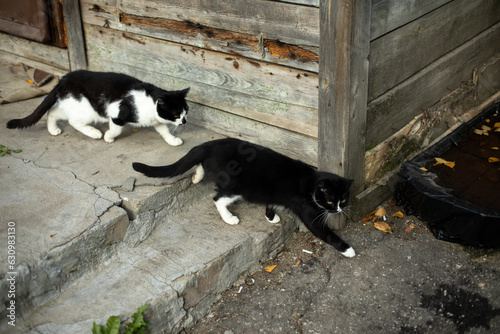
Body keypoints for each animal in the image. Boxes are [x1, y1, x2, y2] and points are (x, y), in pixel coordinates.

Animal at [5, 70, 189, 145]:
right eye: (175, 114)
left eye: (186, 111)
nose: (184, 122)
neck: (149, 102)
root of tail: (63, 80)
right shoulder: (117, 113)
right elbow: (116, 129)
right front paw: (108, 137)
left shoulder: (155, 119)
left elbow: (163, 130)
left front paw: (172, 140)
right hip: (87, 110)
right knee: (73, 121)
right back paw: (94, 133)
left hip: (74, 104)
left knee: (53, 112)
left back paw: (53, 129)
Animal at [133, 137, 356, 258]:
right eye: (330, 200)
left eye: (343, 200)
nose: (339, 209)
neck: (311, 183)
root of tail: (211, 144)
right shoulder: (309, 214)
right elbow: (325, 233)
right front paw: (347, 249)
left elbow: (271, 201)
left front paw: (270, 216)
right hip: (236, 185)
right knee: (218, 199)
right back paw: (229, 218)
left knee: (202, 164)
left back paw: (197, 177)